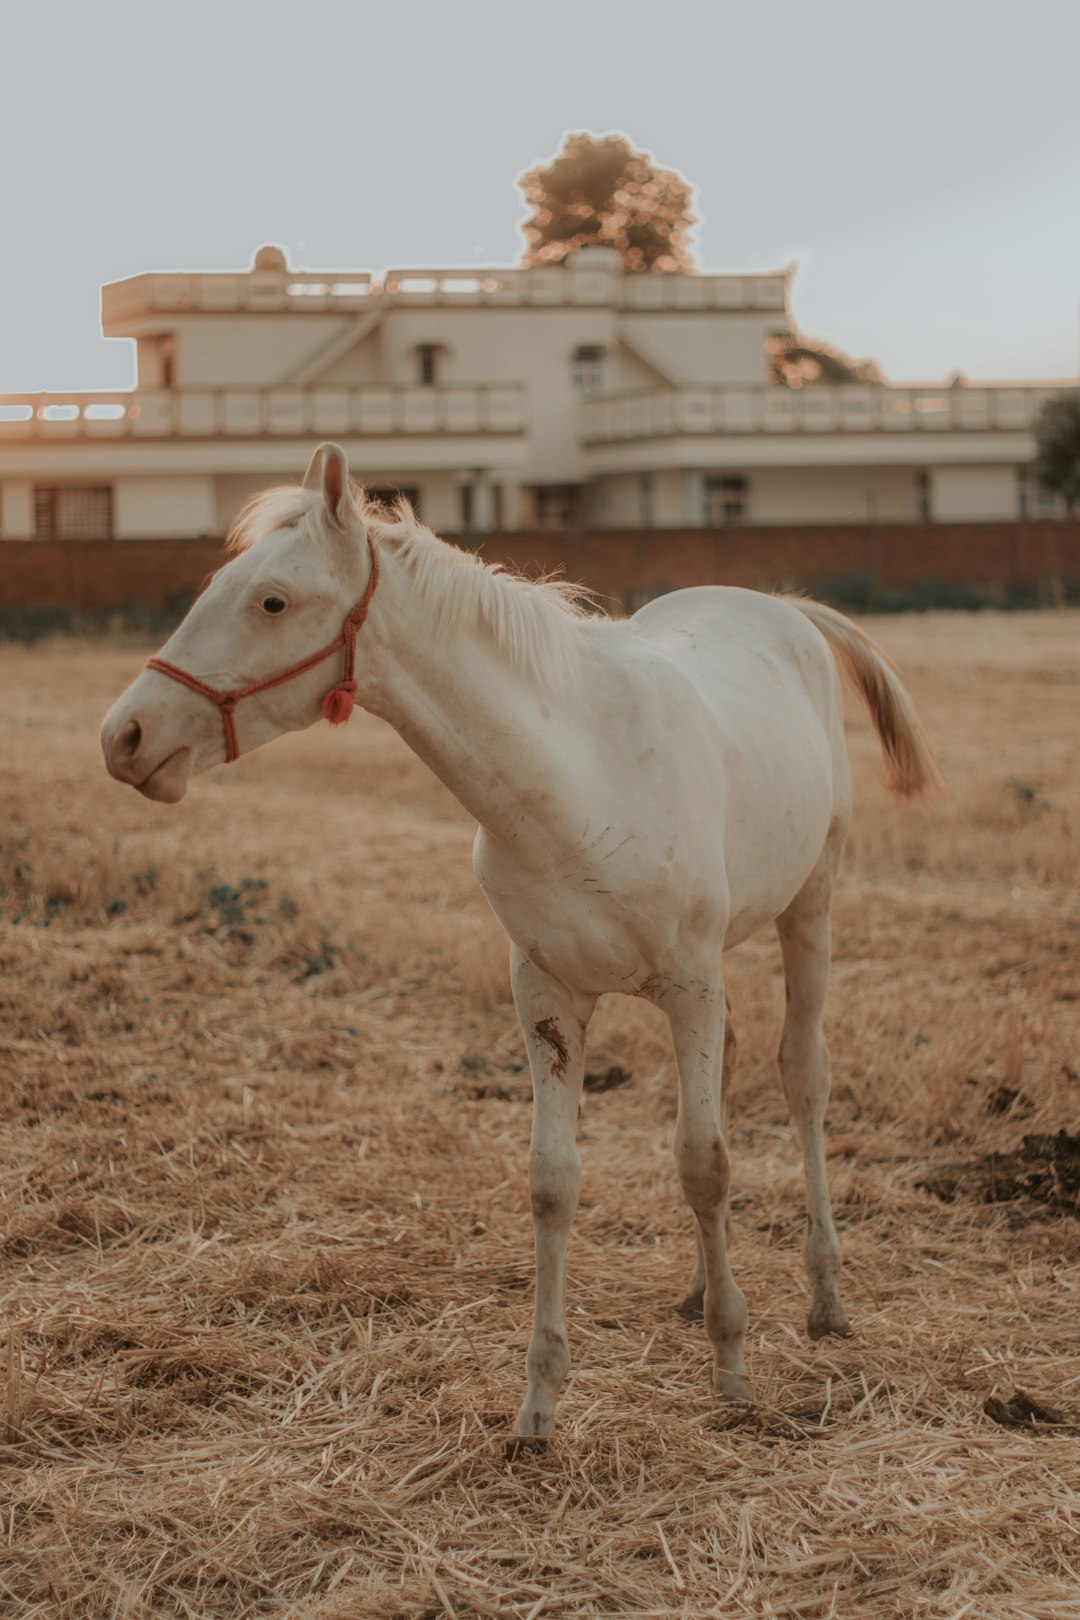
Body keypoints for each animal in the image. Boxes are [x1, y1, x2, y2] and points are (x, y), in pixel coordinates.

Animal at [105, 440, 939, 1445]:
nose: (125, 735)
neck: (578, 778)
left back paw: (824, 1296)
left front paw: (733, 1370)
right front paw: (539, 1405)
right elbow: (557, 1180)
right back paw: (698, 1290)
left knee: (801, 1076)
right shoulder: (546, 993)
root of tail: (782, 608)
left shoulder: (690, 981)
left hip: (808, 908)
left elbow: (704, 1163)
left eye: (270, 600)